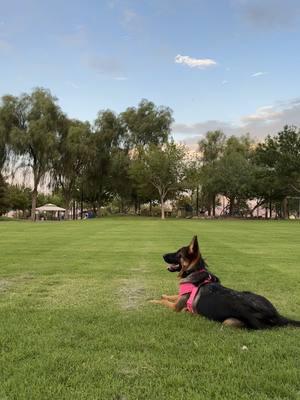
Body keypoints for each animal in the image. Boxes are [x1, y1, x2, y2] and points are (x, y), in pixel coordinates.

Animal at [150, 236, 300, 330]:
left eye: (178, 254)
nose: (162, 255)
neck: (193, 271)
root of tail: (275, 314)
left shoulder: (176, 307)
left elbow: (164, 301)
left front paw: (153, 301)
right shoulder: (180, 298)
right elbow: (172, 295)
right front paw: (164, 295)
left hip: (230, 322)